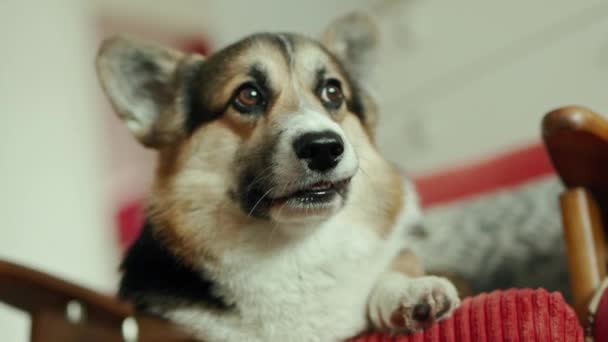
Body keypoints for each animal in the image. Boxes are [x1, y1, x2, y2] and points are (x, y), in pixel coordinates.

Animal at [95, 12, 458, 342]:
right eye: (248, 95)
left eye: (333, 92)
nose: (323, 148)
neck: (294, 245)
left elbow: (401, 261)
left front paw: (409, 292)